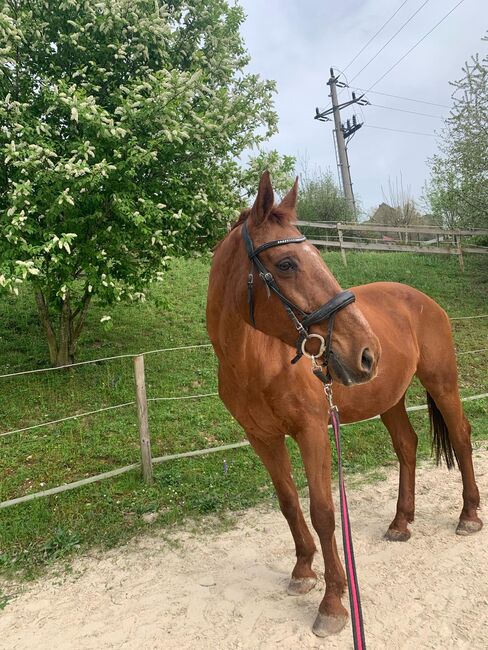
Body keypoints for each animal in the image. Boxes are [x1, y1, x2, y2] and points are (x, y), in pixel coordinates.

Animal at [205, 170, 480, 636]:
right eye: (286, 263)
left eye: (316, 253)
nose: (366, 353)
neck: (255, 359)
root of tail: (422, 299)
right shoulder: (262, 438)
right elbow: (288, 502)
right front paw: (302, 571)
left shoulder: (312, 431)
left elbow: (322, 510)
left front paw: (333, 602)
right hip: (390, 399)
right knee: (407, 446)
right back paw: (401, 523)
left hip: (443, 383)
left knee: (461, 436)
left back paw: (469, 515)